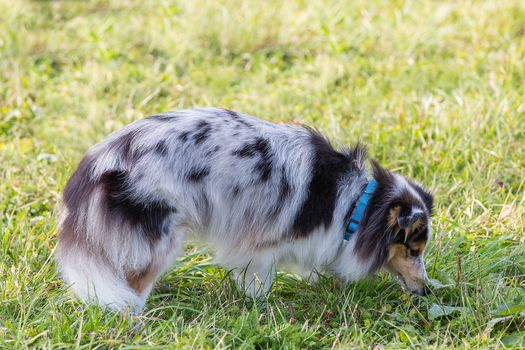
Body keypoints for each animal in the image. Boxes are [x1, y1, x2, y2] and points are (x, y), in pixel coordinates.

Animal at [57, 108, 434, 310]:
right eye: (414, 251)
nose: (428, 290)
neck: (356, 206)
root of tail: (104, 157)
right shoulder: (262, 245)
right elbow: (259, 280)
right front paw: (263, 306)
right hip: (161, 229)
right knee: (135, 282)